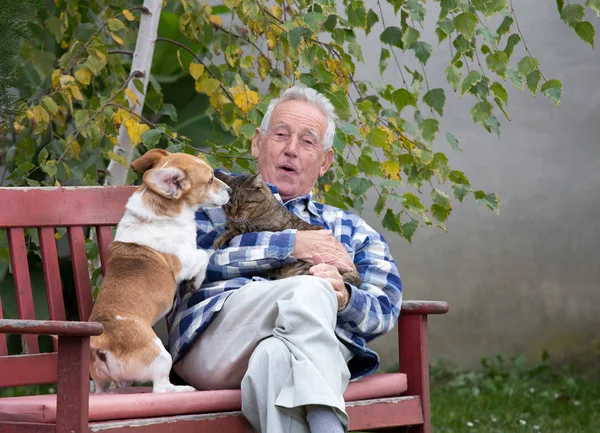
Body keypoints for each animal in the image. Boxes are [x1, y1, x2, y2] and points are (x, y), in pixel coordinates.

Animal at [88, 148, 230, 392]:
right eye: (211, 179)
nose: (230, 190)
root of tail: (103, 340)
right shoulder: (186, 261)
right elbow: (204, 255)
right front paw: (196, 282)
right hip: (162, 356)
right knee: (161, 387)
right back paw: (182, 390)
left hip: (101, 382)